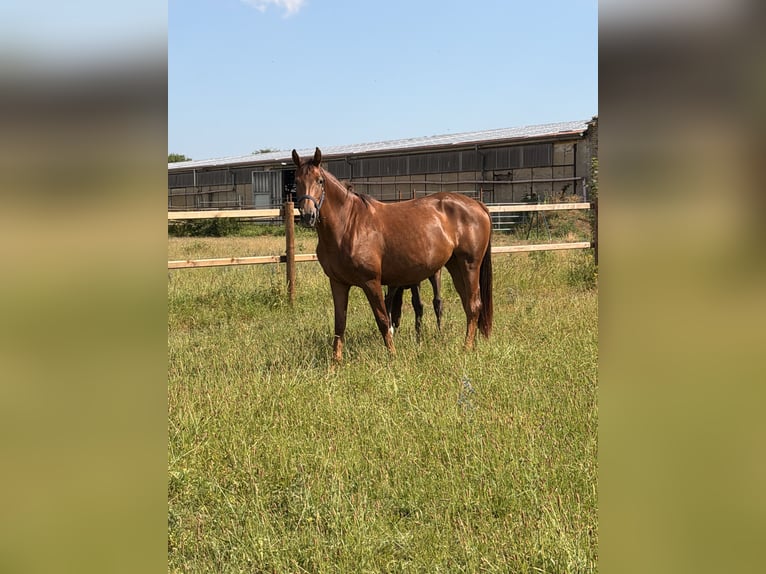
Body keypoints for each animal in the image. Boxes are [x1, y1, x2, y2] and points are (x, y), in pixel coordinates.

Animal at [292, 147, 493, 362]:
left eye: (320, 180)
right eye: (296, 181)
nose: (308, 216)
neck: (348, 225)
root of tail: (478, 205)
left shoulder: (371, 282)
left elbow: (382, 319)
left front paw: (392, 356)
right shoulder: (338, 283)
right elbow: (340, 324)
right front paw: (335, 363)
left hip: (470, 265)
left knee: (473, 305)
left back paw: (466, 348)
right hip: (455, 266)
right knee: (468, 304)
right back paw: (471, 344)